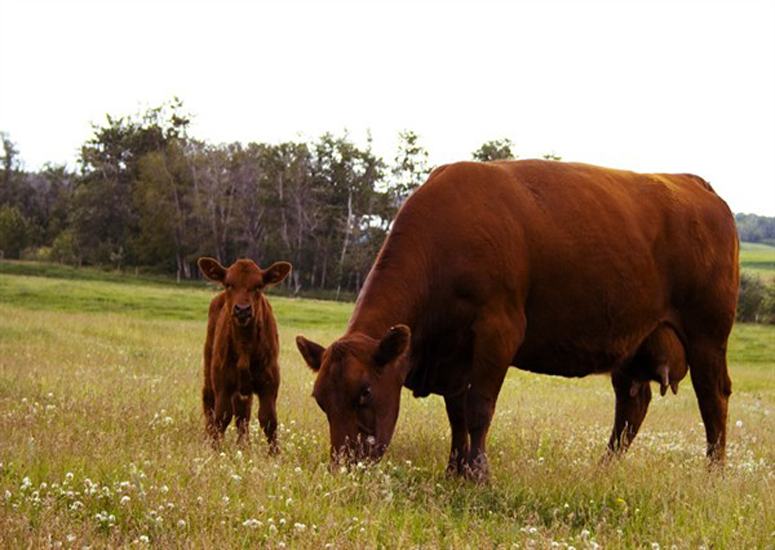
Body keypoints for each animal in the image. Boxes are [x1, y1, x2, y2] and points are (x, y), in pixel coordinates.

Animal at [200, 256, 294, 450]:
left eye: (259, 285)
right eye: (229, 284)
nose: (242, 309)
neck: (245, 347)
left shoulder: (270, 382)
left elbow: (268, 419)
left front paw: (274, 453)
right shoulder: (222, 380)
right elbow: (221, 416)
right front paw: (214, 449)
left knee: (243, 413)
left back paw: (243, 445)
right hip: (209, 365)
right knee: (209, 402)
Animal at [298, 161, 740, 484]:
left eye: (365, 391)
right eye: (320, 399)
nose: (342, 467)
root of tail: (694, 183)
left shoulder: (498, 331)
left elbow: (479, 407)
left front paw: (478, 475)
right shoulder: (456, 356)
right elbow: (457, 414)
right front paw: (455, 470)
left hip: (708, 334)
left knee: (712, 398)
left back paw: (714, 473)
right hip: (636, 342)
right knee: (632, 406)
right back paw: (603, 469)